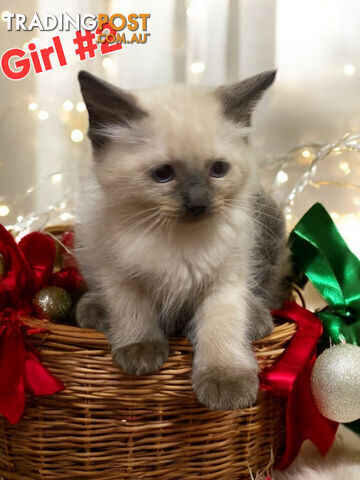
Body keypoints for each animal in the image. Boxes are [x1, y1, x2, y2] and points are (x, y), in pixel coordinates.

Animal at [76, 69, 290, 410]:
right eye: (163, 174)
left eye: (218, 169)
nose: (198, 203)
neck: (179, 240)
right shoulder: (120, 272)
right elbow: (132, 310)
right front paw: (140, 351)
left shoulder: (224, 281)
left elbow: (221, 326)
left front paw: (226, 382)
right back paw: (93, 310)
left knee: (263, 296)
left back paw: (257, 319)